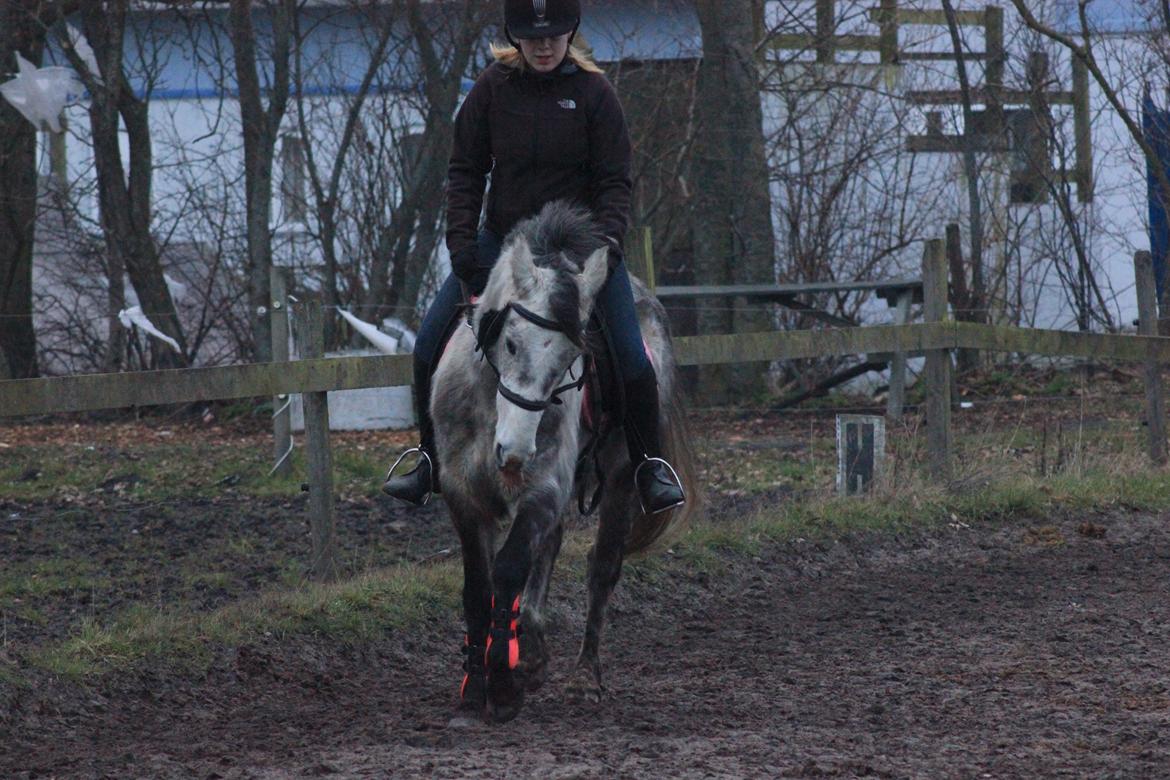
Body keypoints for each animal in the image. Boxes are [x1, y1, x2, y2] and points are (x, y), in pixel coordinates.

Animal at [435, 201, 697, 725]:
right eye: (510, 342)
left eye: (572, 357)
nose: (515, 453)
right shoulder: (462, 491)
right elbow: (477, 586)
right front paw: (476, 687)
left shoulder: (545, 487)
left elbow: (508, 570)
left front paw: (503, 683)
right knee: (549, 549)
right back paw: (533, 652)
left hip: (620, 479)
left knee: (602, 570)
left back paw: (581, 678)